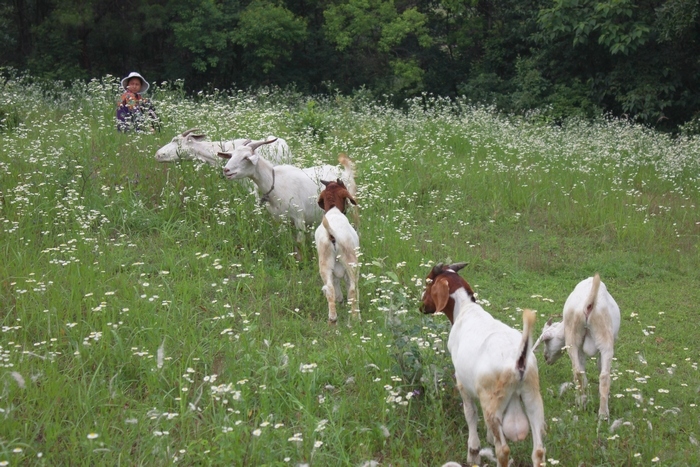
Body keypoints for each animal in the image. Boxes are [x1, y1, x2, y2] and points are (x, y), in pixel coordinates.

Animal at [217, 144, 356, 247]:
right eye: (231, 155)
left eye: (246, 157)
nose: (226, 170)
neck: (274, 183)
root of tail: (344, 173)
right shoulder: (280, 219)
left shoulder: (299, 218)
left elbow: (300, 242)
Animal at [318, 180, 360, 326]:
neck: (333, 210)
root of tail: (331, 234)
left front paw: (340, 301)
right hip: (351, 262)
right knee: (353, 289)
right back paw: (355, 318)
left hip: (324, 264)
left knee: (330, 289)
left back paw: (332, 318)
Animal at [422, 264, 548, 467]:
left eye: (428, 282)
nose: (422, 306)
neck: (465, 309)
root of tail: (519, 362)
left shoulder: (462, 383)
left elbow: (471, 414)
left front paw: (473, 452)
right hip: (532, 396)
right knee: (538, 450)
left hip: (491, 401)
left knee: (503, 450)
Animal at [532, 272, 620, 422]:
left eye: (547, 342)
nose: (546, 358)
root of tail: (588, 305)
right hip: (593, 338)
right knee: (591, 374)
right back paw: (592, 408)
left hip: (582, 337)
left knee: (589, 374)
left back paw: (595, 409)